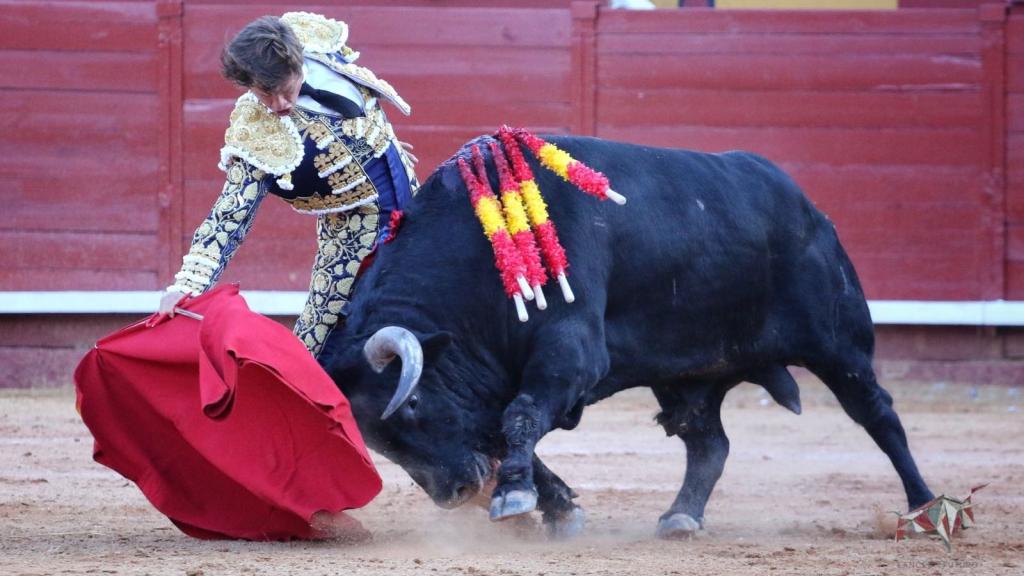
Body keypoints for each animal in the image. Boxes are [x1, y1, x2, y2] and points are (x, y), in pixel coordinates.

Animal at [321, 132, 937, 537]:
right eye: (377, 440)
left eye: (413, 404)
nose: (455, 493)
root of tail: (810, 208)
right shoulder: (496, 382)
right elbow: (503, 429)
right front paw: (560, 509)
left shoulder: (570, 353)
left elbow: (518, 418)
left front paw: (514, 495)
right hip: (689, 374)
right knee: (709, 443)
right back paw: (681, 517)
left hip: (839, 345)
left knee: (879, 416)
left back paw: (925, 509)